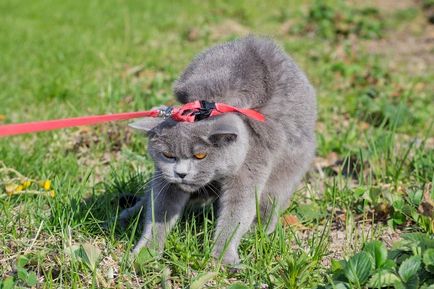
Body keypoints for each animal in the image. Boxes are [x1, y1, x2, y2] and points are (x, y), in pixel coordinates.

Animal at [122, 36, 316, 264]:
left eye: (200, 155)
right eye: (168, 155)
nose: (181, 173)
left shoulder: (250, 166)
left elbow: (237, 214)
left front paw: (222, 257)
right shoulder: (165, 179)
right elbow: (160, 209)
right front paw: (146, 252)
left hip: (287, 168)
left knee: (269, 201)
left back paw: (257, 231)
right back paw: (131, 213)